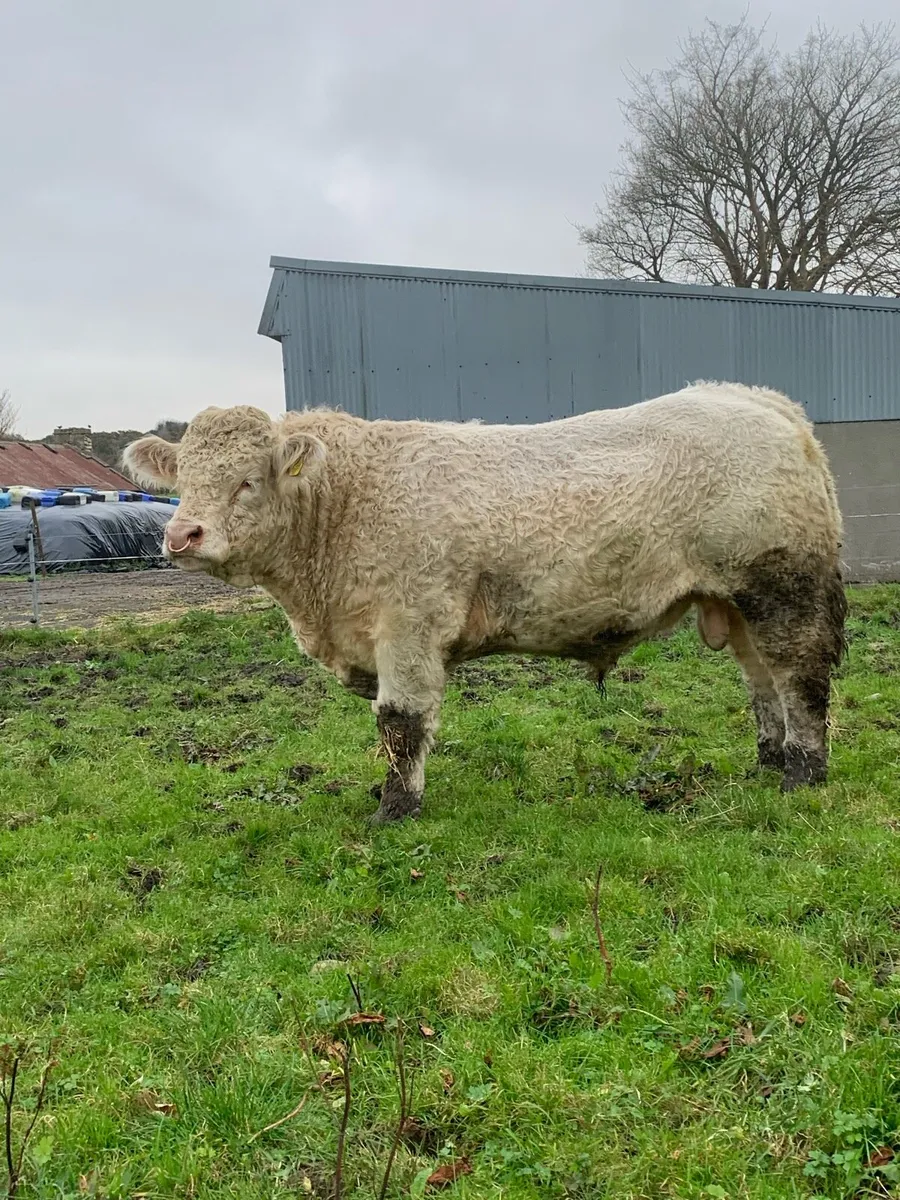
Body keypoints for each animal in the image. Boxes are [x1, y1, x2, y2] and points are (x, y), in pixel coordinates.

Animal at [124, 382, 847, 824]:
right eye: (183, 478)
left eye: (248, 480)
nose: (182, 535)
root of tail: (757, 400)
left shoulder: (409, 622)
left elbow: (400, 723)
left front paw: (395, 809)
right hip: (738, 599)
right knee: (763, 682)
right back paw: (769, 761)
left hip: (781, 585)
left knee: (799, 678)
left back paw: (803, 775)